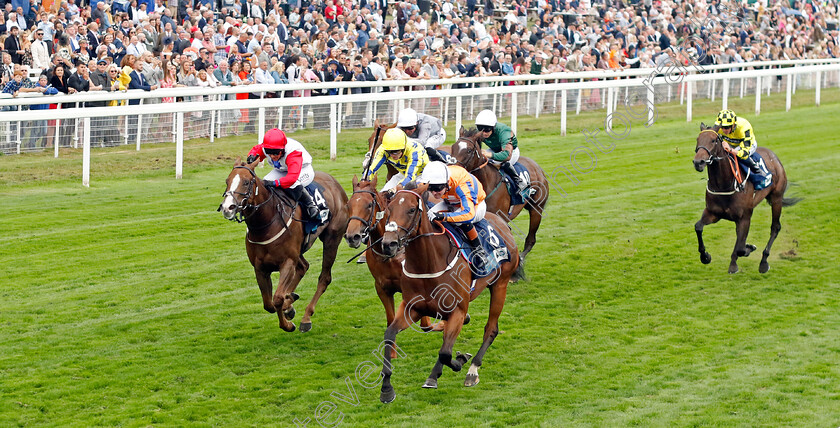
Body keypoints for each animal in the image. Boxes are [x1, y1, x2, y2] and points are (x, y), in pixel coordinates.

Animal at [221, 159, 350, 332]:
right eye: (227, 181)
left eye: (246, 182)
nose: (227, 208)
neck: (266, 223)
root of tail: (335, 183)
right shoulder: (260, 268)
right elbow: (269, 304)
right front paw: (288, 305)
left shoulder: (287, 262)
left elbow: (277, 299)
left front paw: (288, 324)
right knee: (303, 266)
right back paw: (290, 301)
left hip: (332, 240)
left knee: (324, 278)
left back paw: (306, 317)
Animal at [376, 182, 520, 402]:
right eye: (389, 210)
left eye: (411, 209)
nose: (388, 244)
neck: (428, 264)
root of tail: (503, 223)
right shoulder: (412, 308)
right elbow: (389, 334)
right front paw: (386, 388)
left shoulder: (458, 311)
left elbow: (445, 353)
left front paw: (460, 361)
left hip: (500, 285)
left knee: (491, 329)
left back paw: (472, 369)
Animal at [450, 127, 548, 268]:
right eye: (453, 147)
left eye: (468, 150)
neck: (486, 184)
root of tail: (537, 166)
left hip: (536, 209)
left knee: (531, 239)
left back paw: (521, 259)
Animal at [692, 122, 804, 272]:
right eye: (698, 139)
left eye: (713, 140)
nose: (698, 162)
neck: (724, 184)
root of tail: (774, 156)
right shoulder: (713, 213)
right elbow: (698, 227)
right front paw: (705, 256)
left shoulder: (745, 217)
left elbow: (740, 248)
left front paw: (744, 253)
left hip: (777, 199)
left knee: (775, 227)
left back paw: (764, 262)